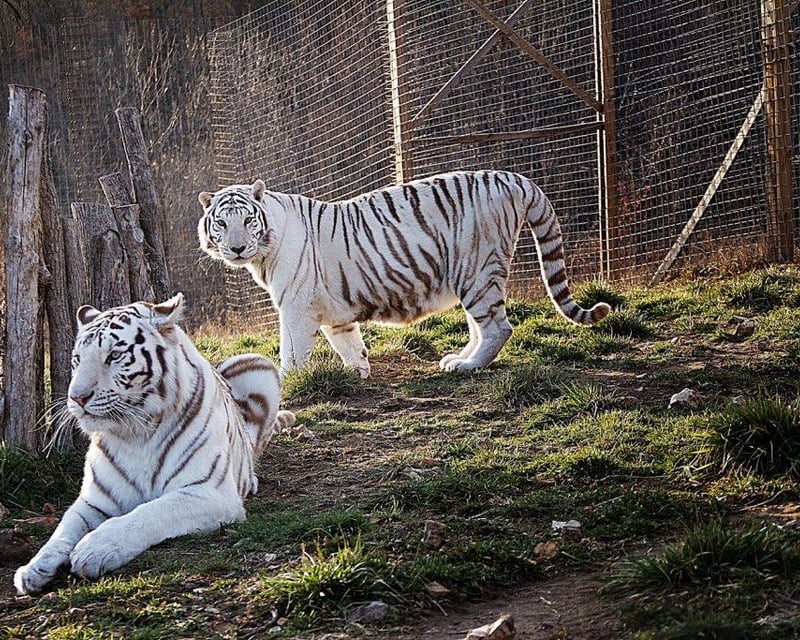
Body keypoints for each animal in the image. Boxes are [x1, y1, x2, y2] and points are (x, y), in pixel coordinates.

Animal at [14, 293, 294, 595]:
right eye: (78, 359)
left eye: (114, 355)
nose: (76, 398)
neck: (134, 433)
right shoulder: (93, 502)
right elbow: (63, 528)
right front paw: (33, 568)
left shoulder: (208, 492)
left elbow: (148, 513)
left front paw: (95, 549)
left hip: (258, 364)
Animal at [197, 170, 610, 378]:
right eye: (221, 222)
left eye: (247, 221)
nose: (236, 248)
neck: (263, 252)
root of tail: (511, 177)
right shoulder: (332, 310)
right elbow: (347, 342)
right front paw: (359, 371)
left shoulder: (296, 308)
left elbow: (292, 352)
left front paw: (287, 382)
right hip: (471, 276)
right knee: (481, 325)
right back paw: (456, 358)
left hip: (475, 269)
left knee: (497, 327)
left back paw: (468, 366)